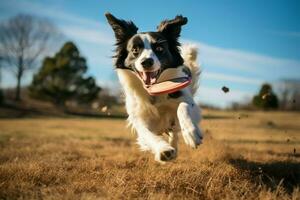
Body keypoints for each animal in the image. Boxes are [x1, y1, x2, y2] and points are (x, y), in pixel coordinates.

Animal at [104, 12, 203, 162]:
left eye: (160, 49)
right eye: (135, 49)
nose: (146, 62)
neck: (153, 93)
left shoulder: (189, 102)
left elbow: (183, 106)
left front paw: (191, 133)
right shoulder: (139, 118)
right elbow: (147, 134)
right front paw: (163, 149)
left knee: (174, 130)